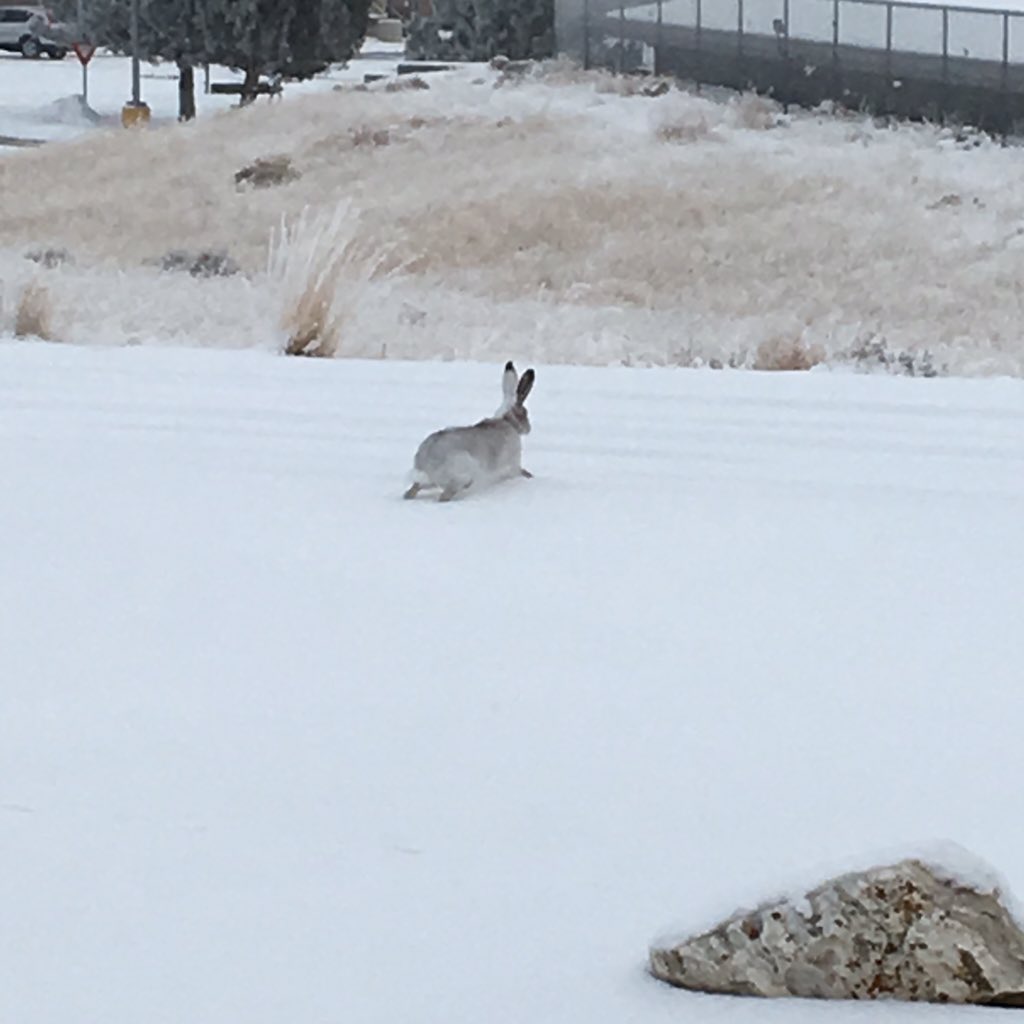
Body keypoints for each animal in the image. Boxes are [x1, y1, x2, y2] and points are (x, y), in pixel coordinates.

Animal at [404, 361, 536, 502]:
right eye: (525, 413)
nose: (528, 429)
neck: (507, 420)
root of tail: (426, 466)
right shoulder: (513, 463)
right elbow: (519, 471)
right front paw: (530, 476)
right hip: (461, 472)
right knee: (445, 495)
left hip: (429, 482)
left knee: (413, 490)